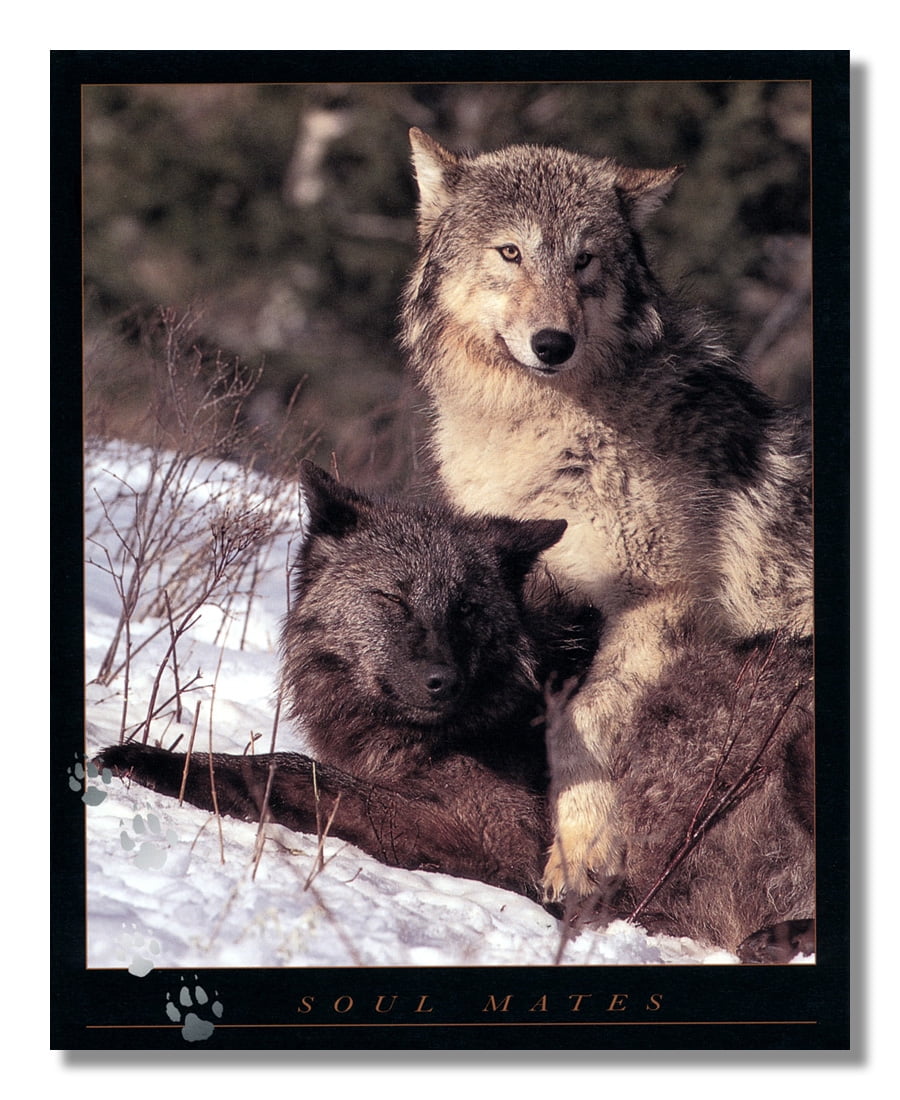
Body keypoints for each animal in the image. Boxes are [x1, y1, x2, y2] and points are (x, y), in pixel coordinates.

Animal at [97, 459, 814, 959]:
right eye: (393, 599)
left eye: (467, 609)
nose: (441, 681)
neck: (520, 691)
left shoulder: (500, 838)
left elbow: (290, 768)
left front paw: (149, 760)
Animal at [400, 126, 814, 902]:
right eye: (511, 251)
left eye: (584, 259)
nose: (553, 344)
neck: (544, 439)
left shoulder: (659, 603)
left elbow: (583, 724)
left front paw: (582, 857)